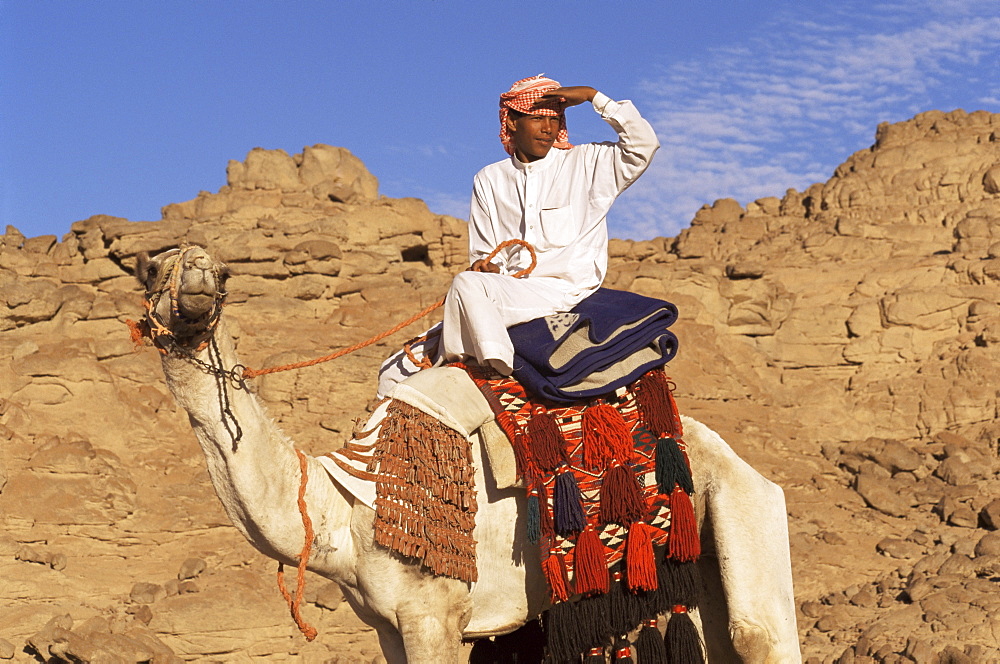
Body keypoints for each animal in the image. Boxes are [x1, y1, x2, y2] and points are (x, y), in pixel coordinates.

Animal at [137, 246, 800, 664]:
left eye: (224, 274)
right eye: (151, 268)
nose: (196, 282)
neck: (341, 513)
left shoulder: (433, 610)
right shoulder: (386, 625)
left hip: (742, 508)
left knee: (758, 635)